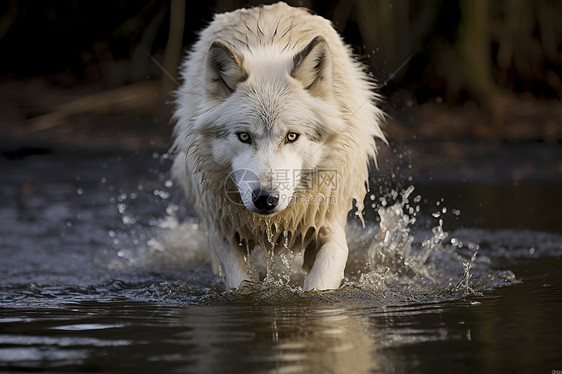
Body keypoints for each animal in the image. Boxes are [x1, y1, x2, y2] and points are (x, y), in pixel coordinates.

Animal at [171, 1, 384, 290]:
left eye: (292, 136)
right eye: (244, 136)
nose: (265, 199)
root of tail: (268, 6)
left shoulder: (329, 227)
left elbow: (320, 282)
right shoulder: (225, 233)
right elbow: (239, 282)